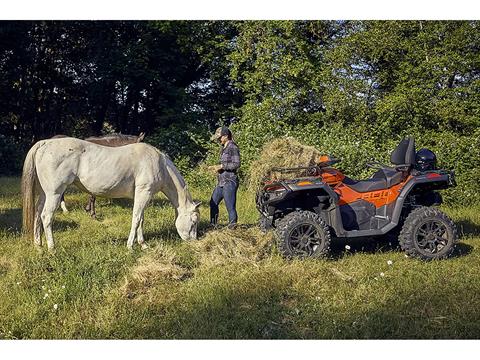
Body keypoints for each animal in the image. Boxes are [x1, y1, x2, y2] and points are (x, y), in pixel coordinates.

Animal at [21, 138, 199, 250]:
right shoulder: (144, 193)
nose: (194, 241)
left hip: (45, 194)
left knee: (37, 213)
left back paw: (38, 244)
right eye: (194, 222)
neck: (159, 164)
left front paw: (143, 244)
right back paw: (52, 248)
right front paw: (130, 246)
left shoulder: (142, 196)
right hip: (55, 193)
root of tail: (45, 143)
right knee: (46, 217)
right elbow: (136, 219)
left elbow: (141, 219)